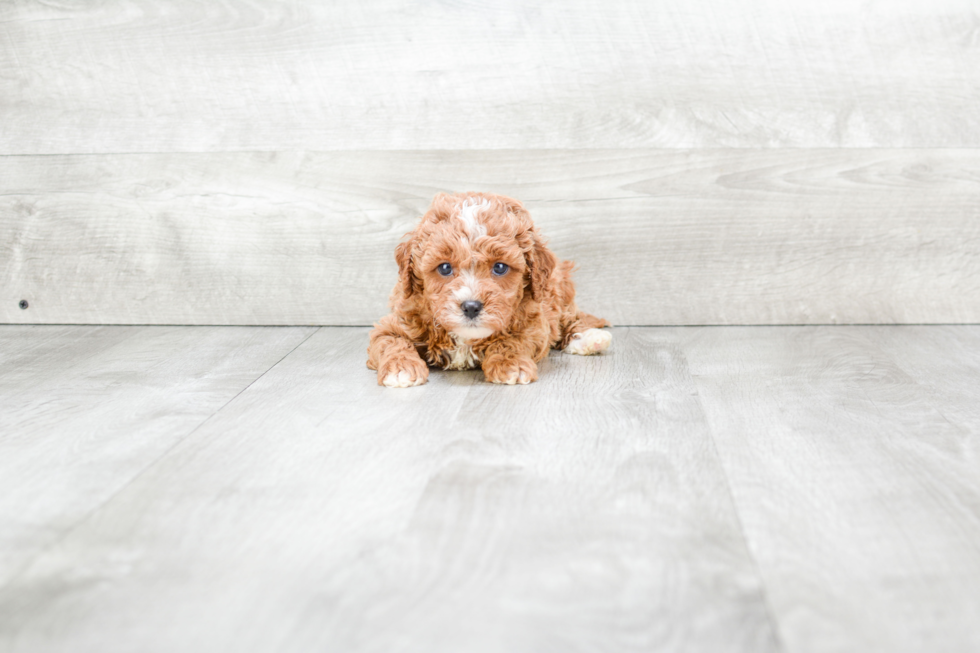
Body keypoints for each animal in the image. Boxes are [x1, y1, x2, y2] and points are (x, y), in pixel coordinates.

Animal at [368, 191, 612, 384]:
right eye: (445, 267)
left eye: (500, 267)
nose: (471, 307)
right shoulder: (394, 323)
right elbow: (392, 342)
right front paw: (400, 368)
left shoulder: (533, 323)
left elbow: (511, 341)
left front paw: (511, 364)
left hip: (559, 294)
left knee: (570, 321)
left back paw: (591, 339)